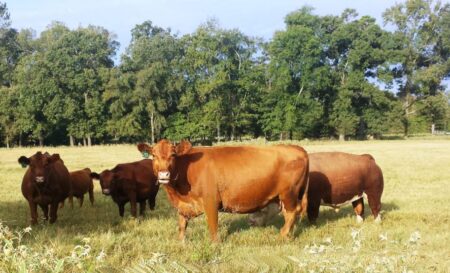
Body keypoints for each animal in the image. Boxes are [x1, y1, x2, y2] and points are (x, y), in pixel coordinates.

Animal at [135, 139, 308, 241]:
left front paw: (214, 245)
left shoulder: (211, 201)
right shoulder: (183, 205)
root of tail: (297, 148)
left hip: (289, 193)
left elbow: (213, 226)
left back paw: (282, 235)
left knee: (292, 212)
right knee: (289, 213)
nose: (164, 174)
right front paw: (181, 243)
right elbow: (182, 225)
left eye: (173, 155)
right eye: (153, 155)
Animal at [250, 152, 384, 224]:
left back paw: (377, 223)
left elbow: (312, 215)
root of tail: (366, 158)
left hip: (373, 193)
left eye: (262, 208)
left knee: (375, 208)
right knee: (359, 209)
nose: (250, 222)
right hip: (357, 195)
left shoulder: (313, 200)